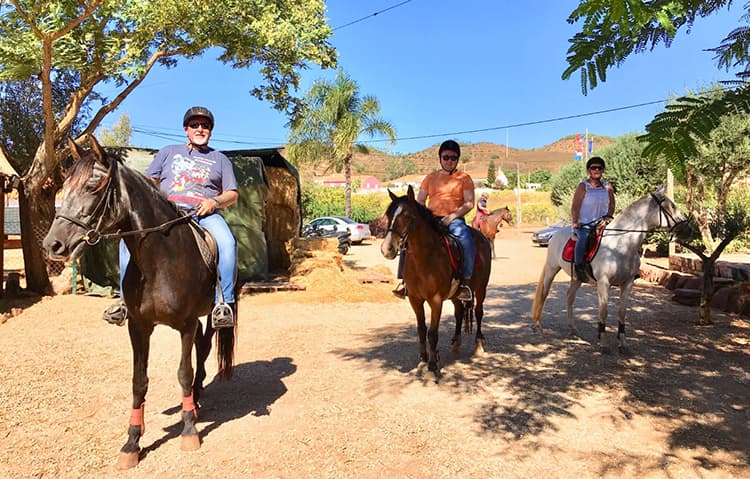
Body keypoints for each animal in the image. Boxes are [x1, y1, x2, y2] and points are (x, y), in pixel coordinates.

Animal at [42, 137, 236, 470]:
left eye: (93, 185)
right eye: (65, 185)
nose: (53, 245)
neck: (160, 260)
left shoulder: (185, 324)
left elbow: (183, 373)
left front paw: (188, 431)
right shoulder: (139, 327)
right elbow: (138, 381)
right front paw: (132, 442)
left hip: (211, 315)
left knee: (204, 348)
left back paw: (196, 397)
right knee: (200, 346)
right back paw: (196, 399)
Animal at [382, 187, 494, 378]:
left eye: (408, 216)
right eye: (389, 214)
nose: (387, 249)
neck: (424, 258)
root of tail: (482, 238)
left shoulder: (435, 301)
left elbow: (433, 333)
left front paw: (433, 366)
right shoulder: (415, 299)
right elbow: (421, 329)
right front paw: (423, 360)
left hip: (481, 289)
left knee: (479, 312)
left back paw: (479, 346)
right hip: (456, 294)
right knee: (459, 312)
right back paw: (456, 343)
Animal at [528, 187, 688, 352]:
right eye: (672, 205)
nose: (688, 227)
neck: (619, 245)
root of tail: (556, 234)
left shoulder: (628, 283)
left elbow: (622, 312)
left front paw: (622, 342)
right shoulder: (604, 283)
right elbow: (603, 311)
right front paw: (603, 342)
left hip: (577, 278)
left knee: (569, 297)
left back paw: (572, 329)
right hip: (552, 269)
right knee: (544, 294)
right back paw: (538, 326)